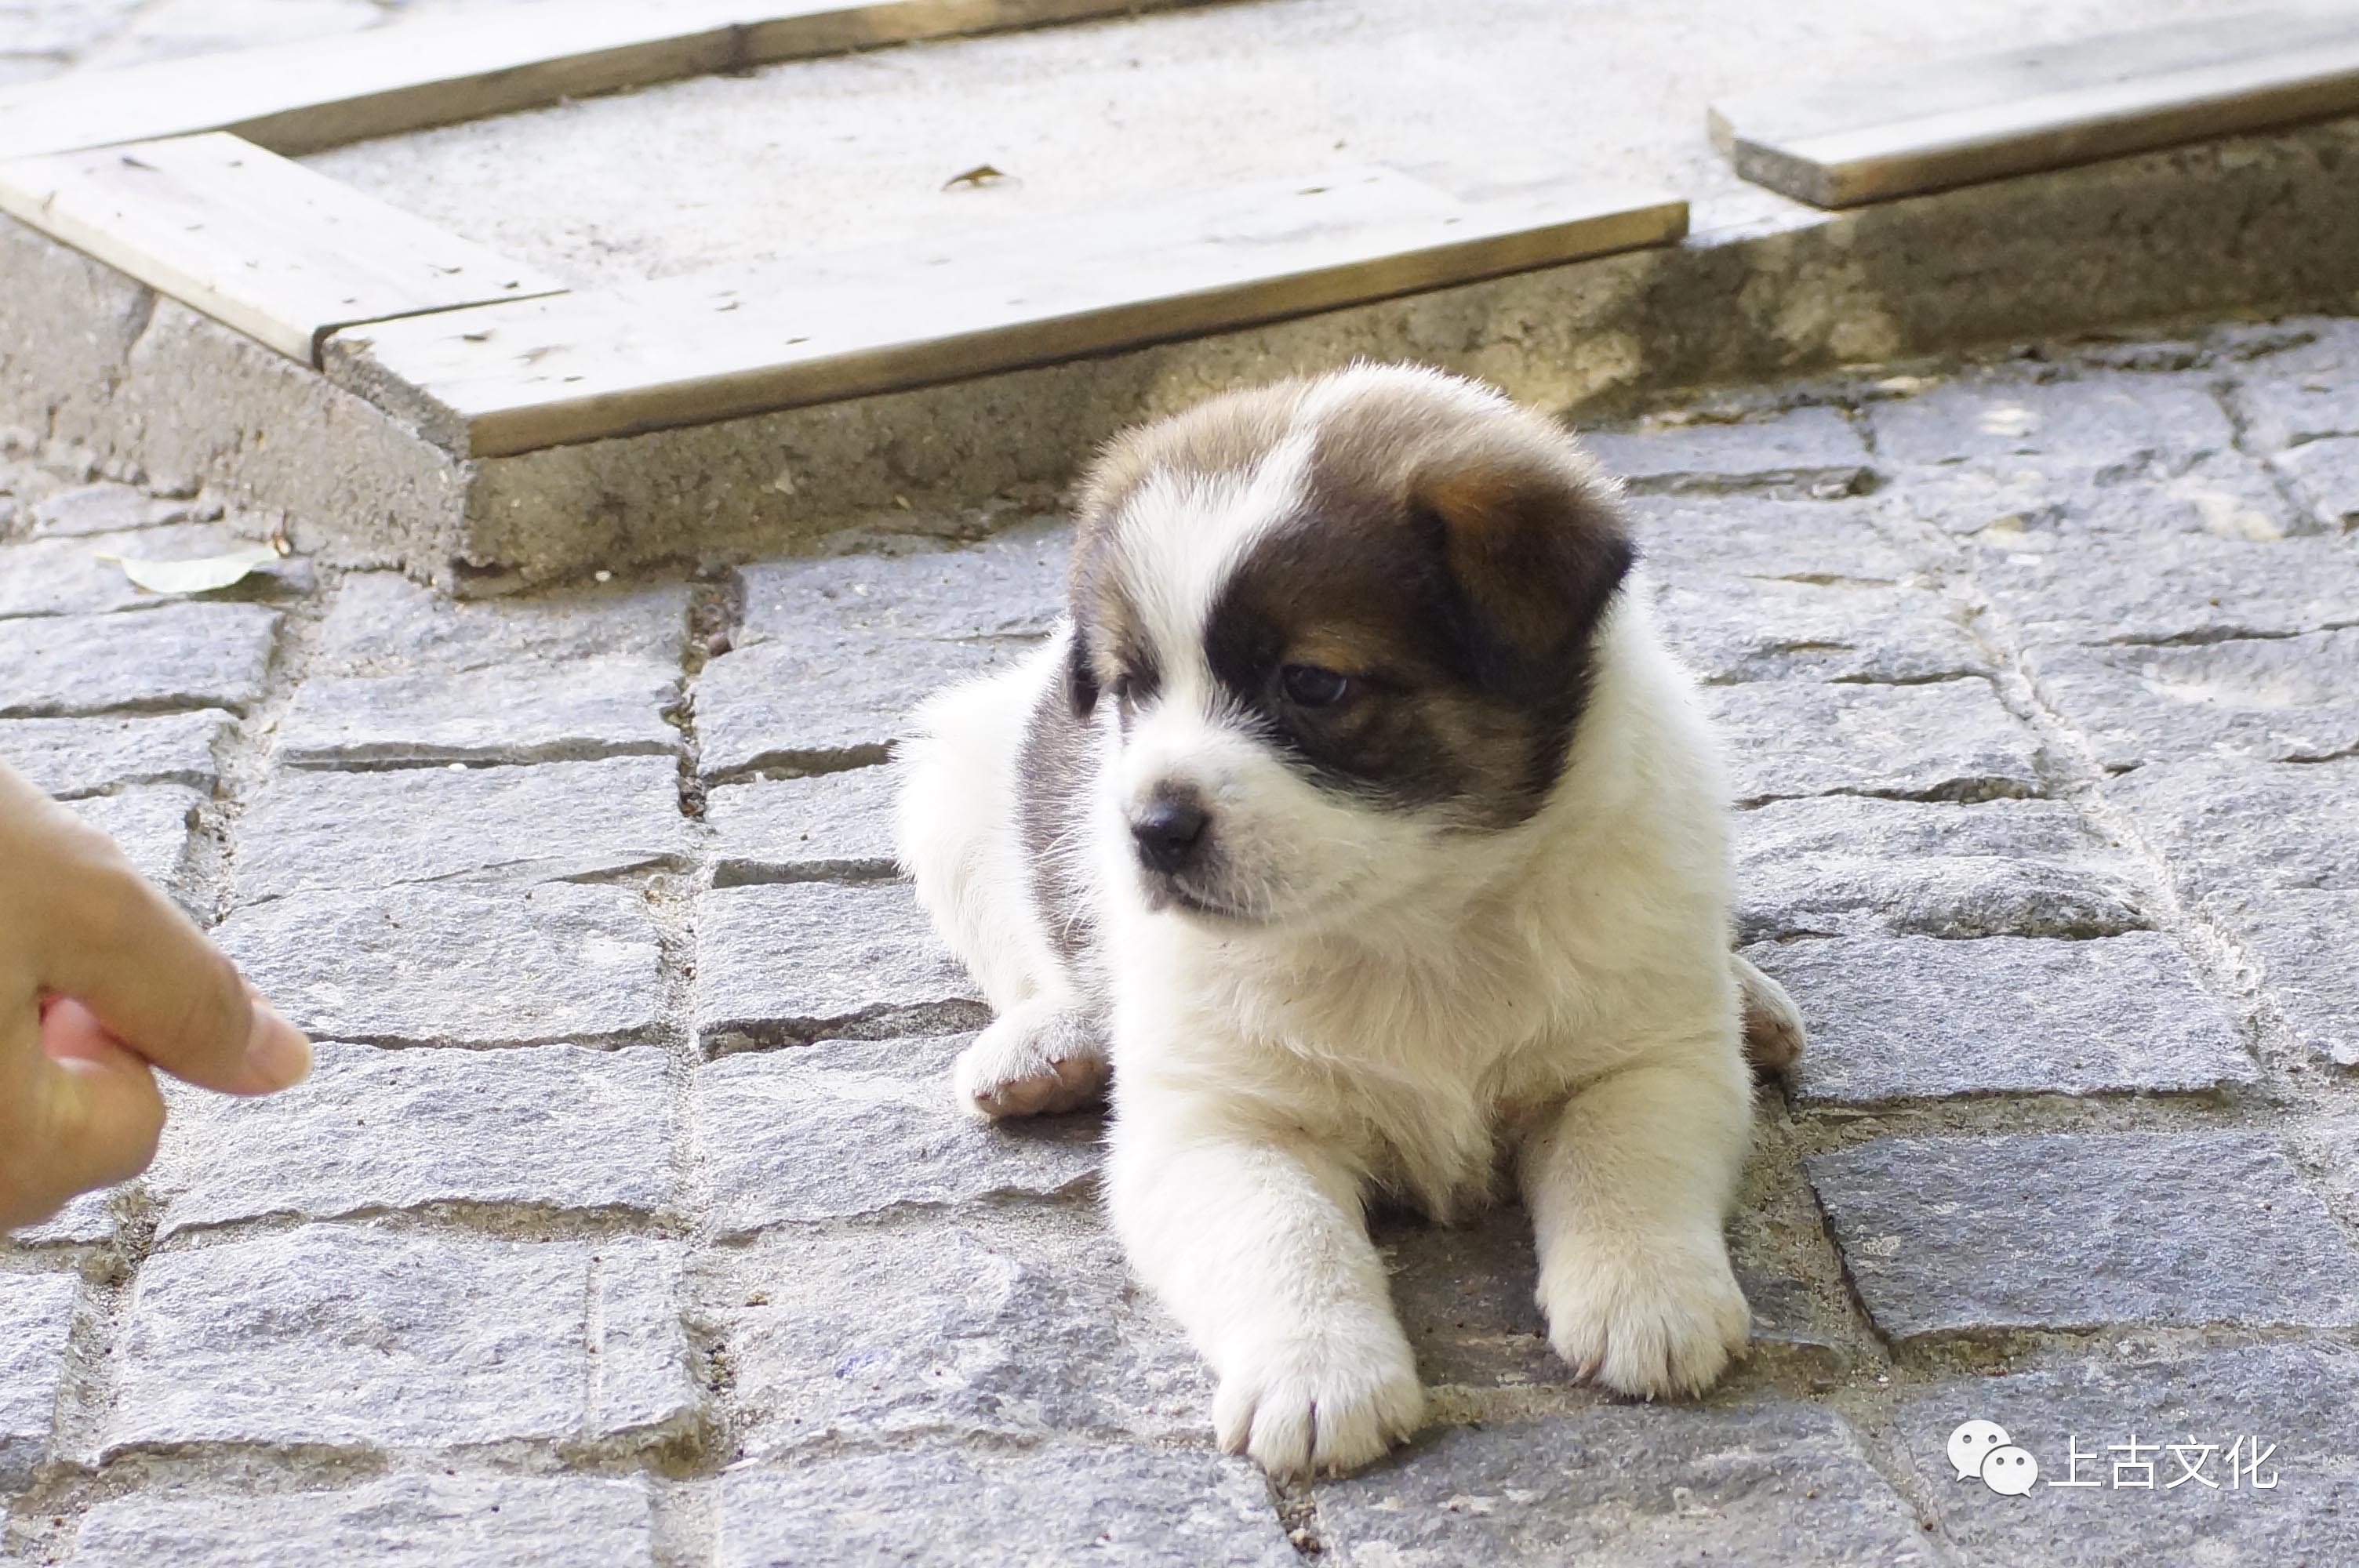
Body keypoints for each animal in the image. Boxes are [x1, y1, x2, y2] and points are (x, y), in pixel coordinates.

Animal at [901, 368, 1802, 1480]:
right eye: (1132, 687)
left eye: (1312, 682)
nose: (1148, 828)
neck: (1413, 920)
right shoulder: (1219, 1121)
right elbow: (1285, 1233)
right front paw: (1315, 1372)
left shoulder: (1641, 1058)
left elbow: (1622, 1158)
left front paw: (1647, 1294)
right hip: (950, 788)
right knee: (1025, 954)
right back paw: (1047, 1040)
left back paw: (1750, 996)